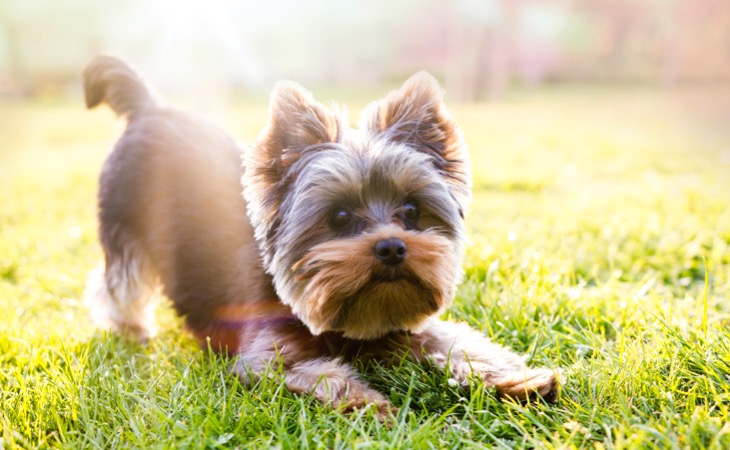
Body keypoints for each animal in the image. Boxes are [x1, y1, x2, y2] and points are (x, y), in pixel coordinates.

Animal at [81, 55, 556, 414]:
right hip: (123, 224)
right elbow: (321, 373)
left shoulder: (407, 324)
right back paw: (130, 328)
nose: (391, 246)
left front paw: (518, 379)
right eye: (339, 216)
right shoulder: (265, 358)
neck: (349, 322)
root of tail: (148, 108)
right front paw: (368, 402)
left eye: (411, 211)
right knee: (118, 282)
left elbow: (458, 342)